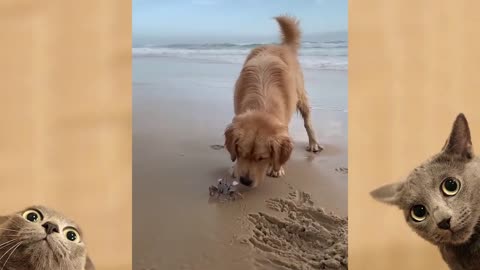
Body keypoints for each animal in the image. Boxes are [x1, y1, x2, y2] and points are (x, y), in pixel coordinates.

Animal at [225, 15, 322, 188]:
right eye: (240, 153)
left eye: (262, 158)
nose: (245, 181)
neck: (262, 104)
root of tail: (282, 46)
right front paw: (235, 167)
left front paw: (277, 168)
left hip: (301, 96)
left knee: (308, 121)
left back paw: (313, 143)